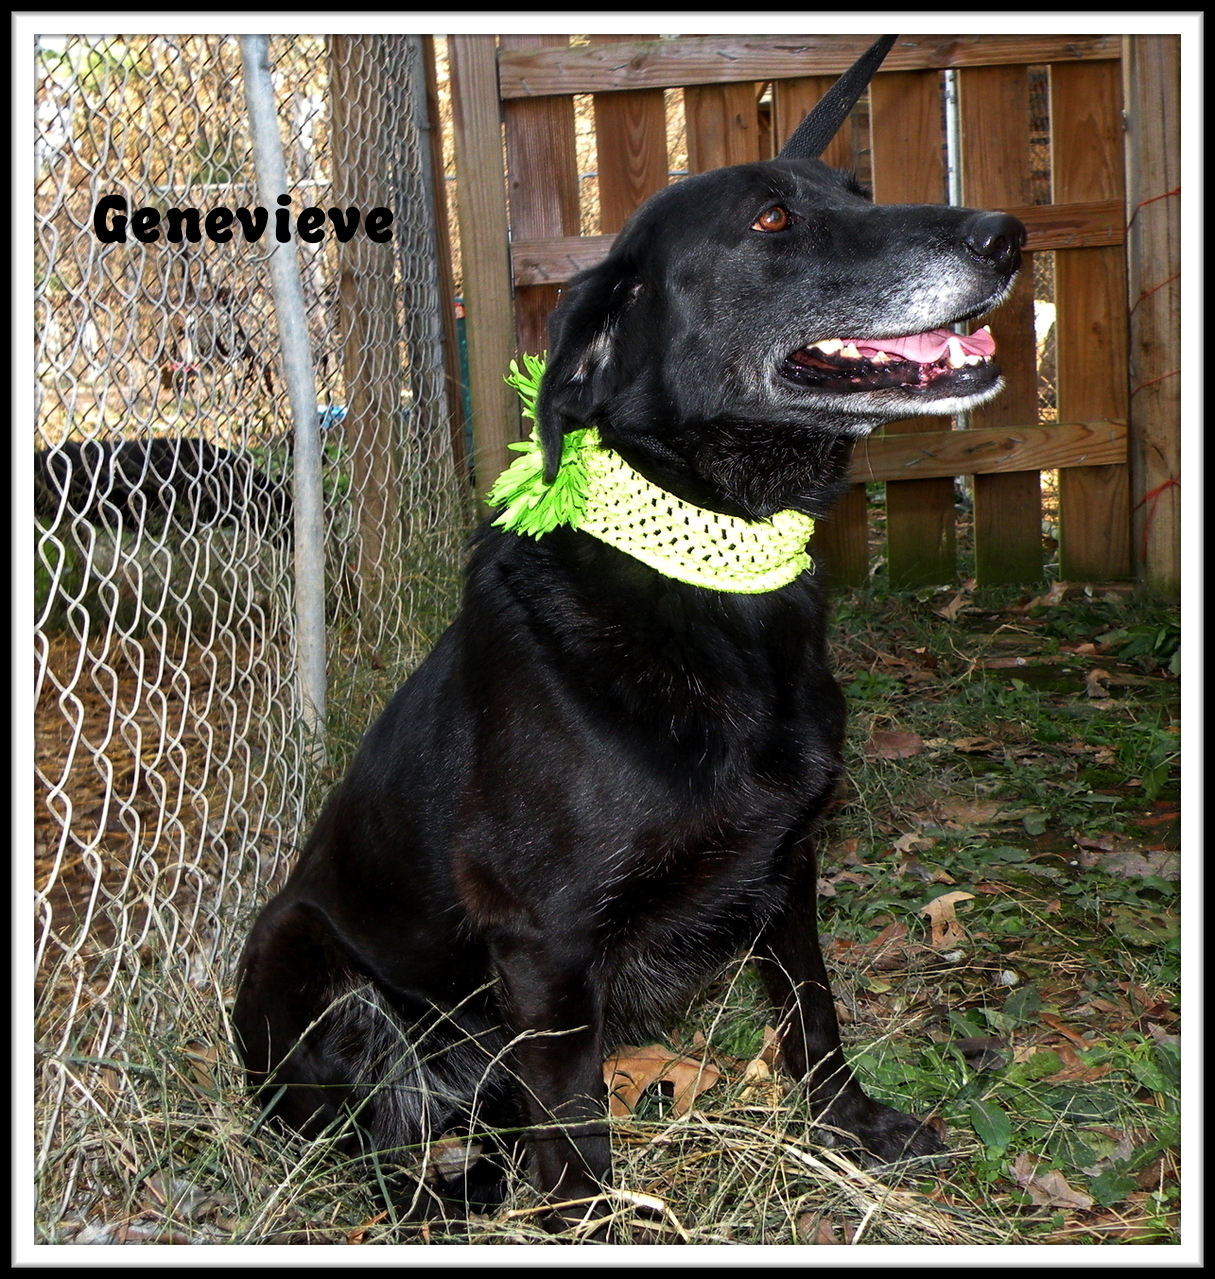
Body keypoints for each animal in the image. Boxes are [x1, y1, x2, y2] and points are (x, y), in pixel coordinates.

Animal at [230, 37, 1028, 1227]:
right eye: (772, 221)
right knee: (380, 1152)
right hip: (308, 966)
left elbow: (812, 1011)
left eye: (857, 193)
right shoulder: (543, 935)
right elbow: (575, 1124)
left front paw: (851, 1130)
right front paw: (591, 1220)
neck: (715, 567)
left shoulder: (786, 865)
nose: (1005, 235)